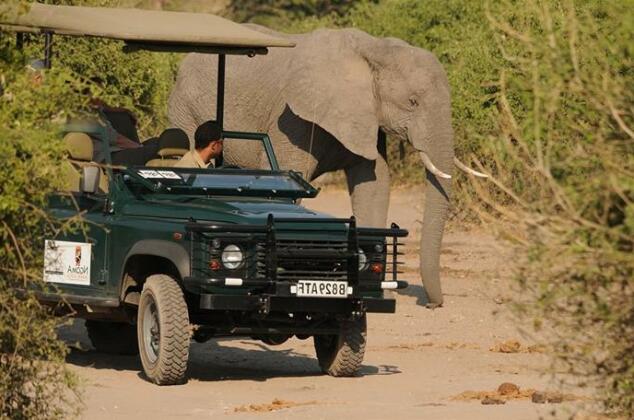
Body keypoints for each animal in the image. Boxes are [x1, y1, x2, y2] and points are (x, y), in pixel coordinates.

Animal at [167, 25, 484, 306]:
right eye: (413, 101)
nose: (433, 305)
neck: (373, 48)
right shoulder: (291, 120)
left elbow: (375, 184)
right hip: (185, 110)